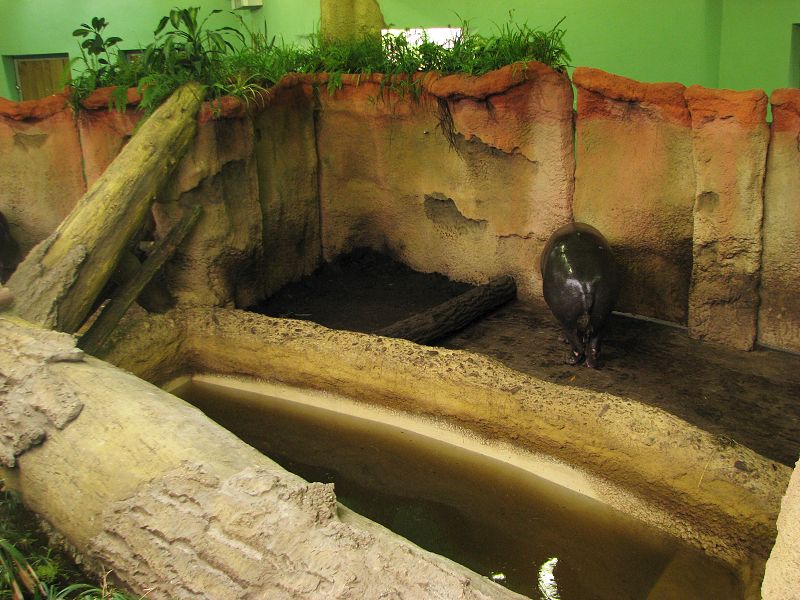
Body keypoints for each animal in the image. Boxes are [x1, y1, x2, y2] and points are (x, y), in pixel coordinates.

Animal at [540, 222, 620, 368]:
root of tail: (586, 283)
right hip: (603, 306)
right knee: (596, 334)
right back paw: (593, 362)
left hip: (565, 314)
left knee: (573, 335)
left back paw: (569, 359)